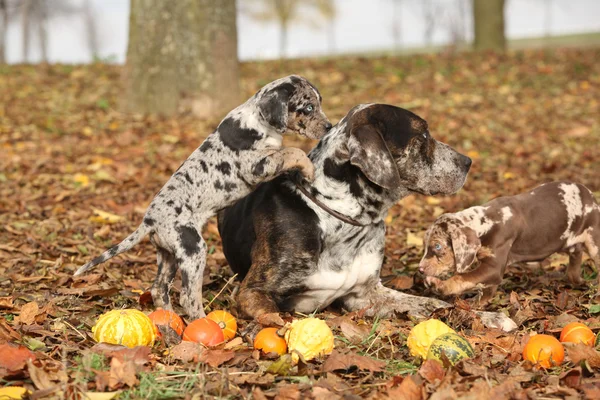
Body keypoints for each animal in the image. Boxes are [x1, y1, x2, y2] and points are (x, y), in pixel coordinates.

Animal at [74, 75, 332, 318]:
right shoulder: (257, 166)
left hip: (168, 255)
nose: (329, 127)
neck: (257, 121)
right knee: (188, 297)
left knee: (159, 289)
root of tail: (149, 221)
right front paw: (309, 168)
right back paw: (204, 321)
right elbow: (292, 151)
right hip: (193, 249)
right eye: (309, 107)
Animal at [218, 104, 516, 332]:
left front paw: (488, 317)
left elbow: (435, 305)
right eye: (422, 135)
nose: (468, 161)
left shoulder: (366, 294)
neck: (342, 216)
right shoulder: (252, 291)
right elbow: (278, 318)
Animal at [422, 182, 600, 304]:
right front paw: (478, 303)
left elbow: (463, 277)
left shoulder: (493, 267)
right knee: (574, 268)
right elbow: (486, 288)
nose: (420, 269)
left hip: (594, 243)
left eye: (437, 246)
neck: (485, 222)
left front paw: (440, 286)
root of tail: (589, 193)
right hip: (573, 246)